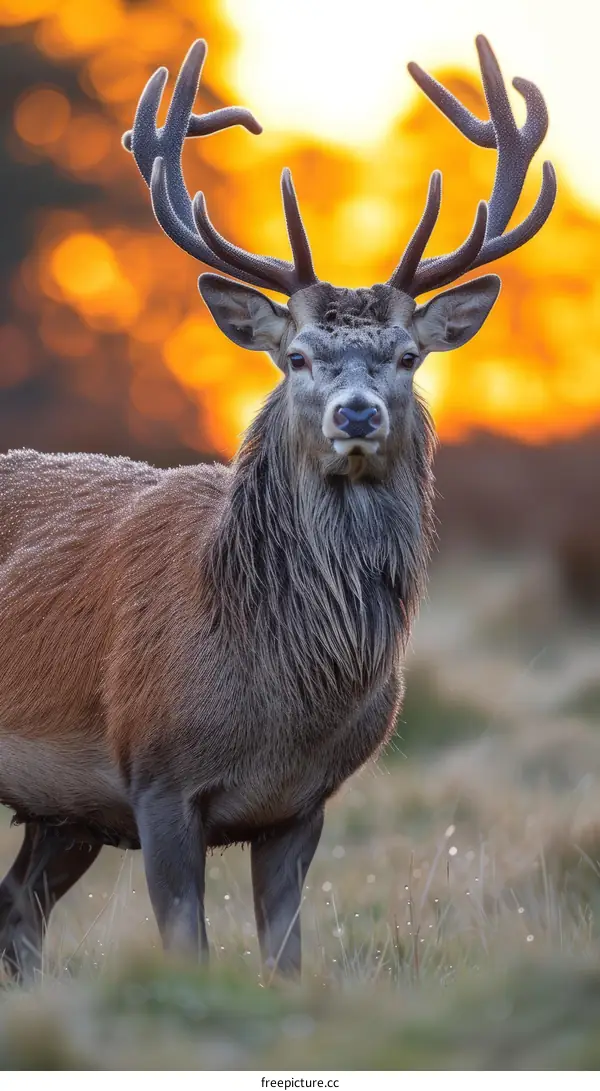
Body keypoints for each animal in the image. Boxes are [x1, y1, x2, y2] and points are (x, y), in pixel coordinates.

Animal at [0, 36, 555, 981]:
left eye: (407, 356)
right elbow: (187, 948)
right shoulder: (156, 776)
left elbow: (286, 959)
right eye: (296, 356)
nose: (356, 414)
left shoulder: (302, 805)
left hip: (61, 809)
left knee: (18, 912)